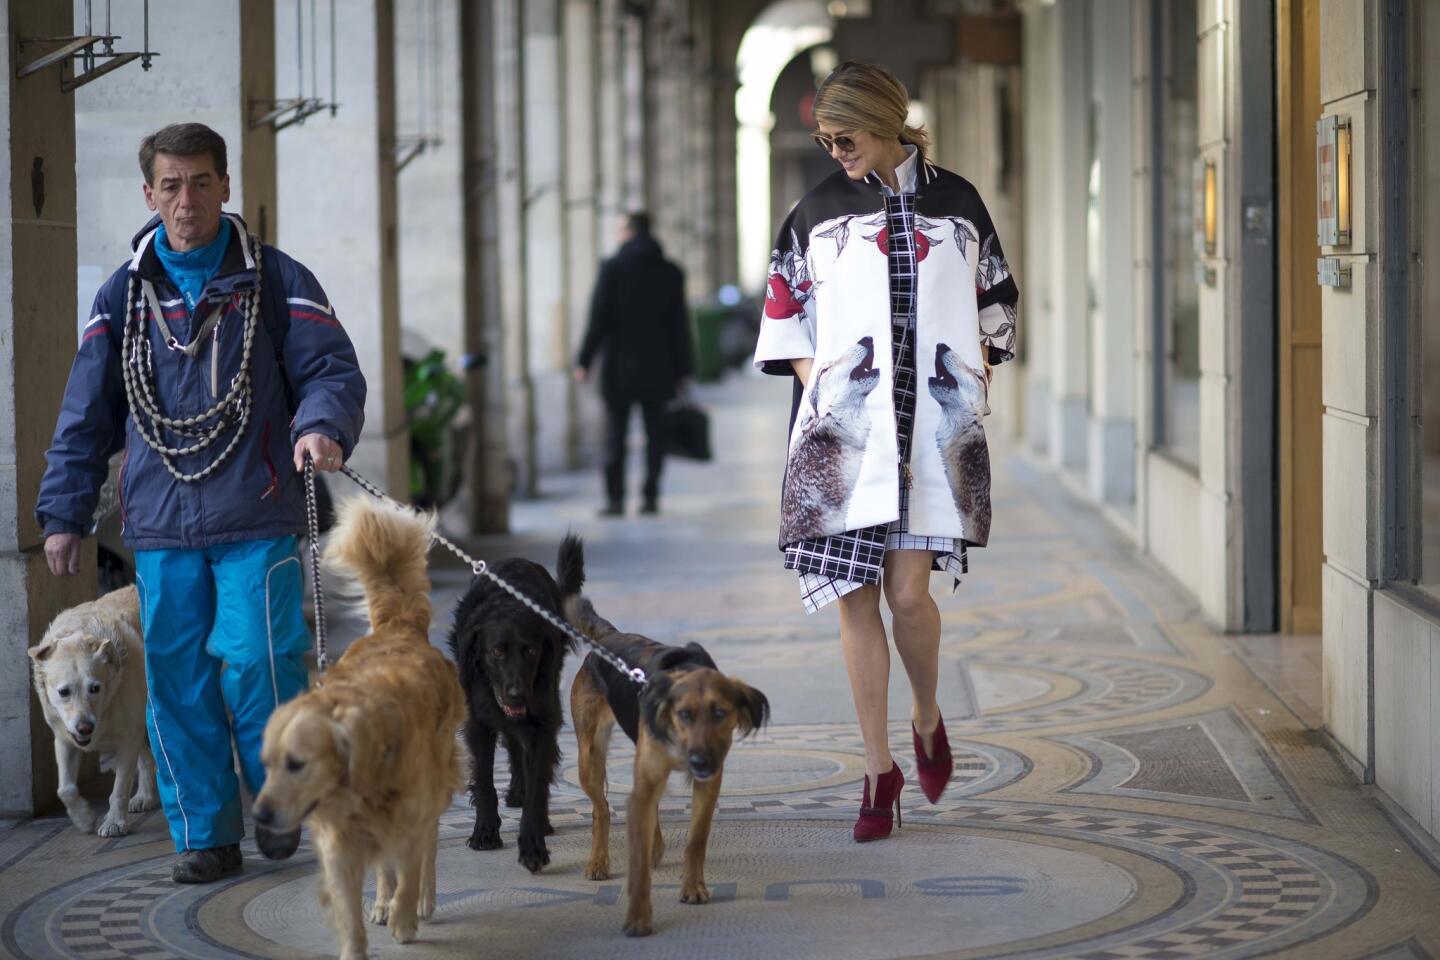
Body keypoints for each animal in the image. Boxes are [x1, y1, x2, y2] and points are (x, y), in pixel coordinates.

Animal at [28, 587, 156, 834]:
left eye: (95, 688)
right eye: (64, 692)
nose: (85, 728)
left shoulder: (127, 738)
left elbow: (119, 788)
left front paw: (114, 822)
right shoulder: (65, 737)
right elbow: (65, 789)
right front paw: (84, 818)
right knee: (147, 759)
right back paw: (144, 796)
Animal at [449, 538, 584, 875]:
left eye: (531, 651)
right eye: (496, 652)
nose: (517, 694)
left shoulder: (542, 723)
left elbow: (537, 787)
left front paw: (533, 846)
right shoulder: (478, 723)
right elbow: (484, 782)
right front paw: (484, 832)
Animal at [564, 601, 771, 938]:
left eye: (720, 713)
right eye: (683, 714)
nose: (700, 761)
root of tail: (609, 636)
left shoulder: (708, 782)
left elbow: (696, 839)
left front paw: (693, 887)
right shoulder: (646, 779)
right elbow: (637, 861)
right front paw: (638, 917)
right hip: (589, 756)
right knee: (601, 809)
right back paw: (598, 861)